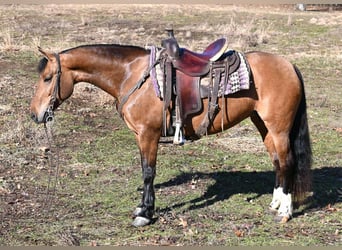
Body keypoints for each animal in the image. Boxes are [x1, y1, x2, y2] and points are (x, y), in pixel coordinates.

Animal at [30, 37, 312, 227]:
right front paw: (142, 209)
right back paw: (275, 203)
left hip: (279, 128)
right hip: (263, 125)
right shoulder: (140, 137)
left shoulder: (148, 135)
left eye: (47, 78)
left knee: (287, 162)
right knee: (277, 162)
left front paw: (145, 214)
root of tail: (289, 65)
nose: (35, 114)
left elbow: (148, 172)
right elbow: (145, 170)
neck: (131, 75)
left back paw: (285, 211)